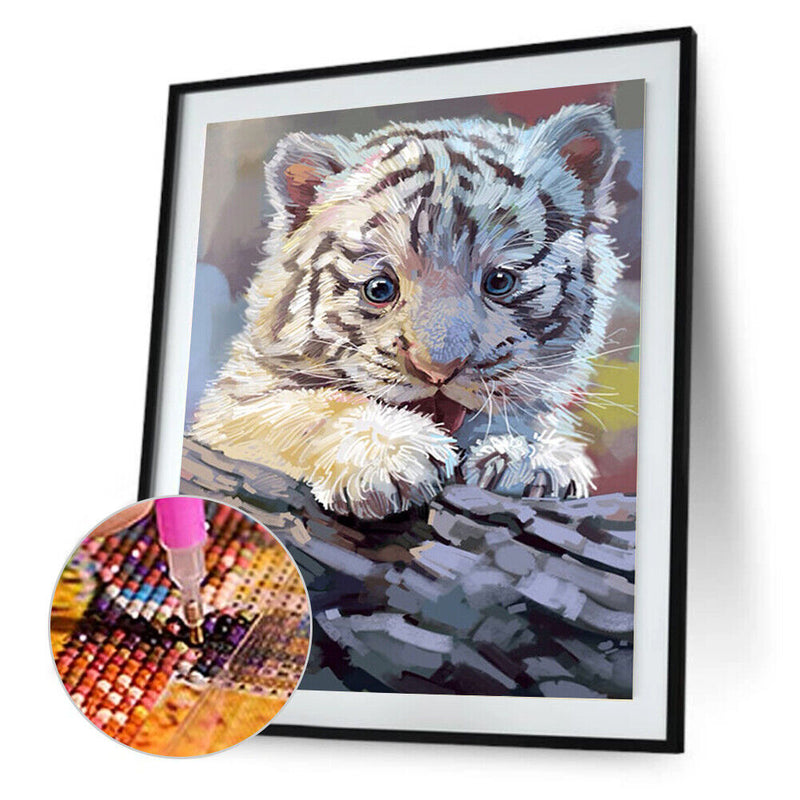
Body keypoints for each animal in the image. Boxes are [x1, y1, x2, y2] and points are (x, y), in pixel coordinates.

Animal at [192, 104, 626, 521]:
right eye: (379, 288)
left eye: (500, 281)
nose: (438, 370)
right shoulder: (232, 400)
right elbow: (304, 407)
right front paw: (388, 455)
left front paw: (529, 456)